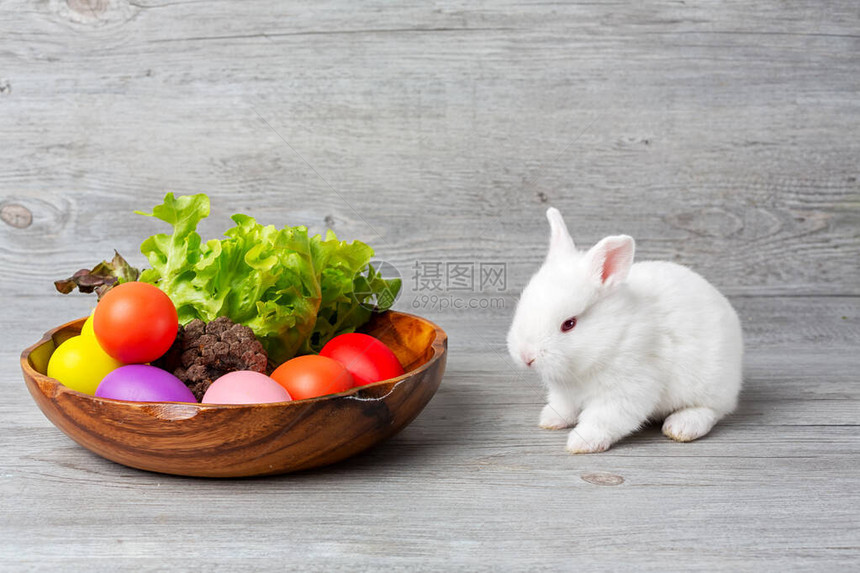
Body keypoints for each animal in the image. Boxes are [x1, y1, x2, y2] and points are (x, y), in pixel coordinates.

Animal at [508, 208, 744, 454]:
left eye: (569, 324)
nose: (526, 356)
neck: (612, 336)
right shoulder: (564, 393)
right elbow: (564, 407)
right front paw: (550, 420)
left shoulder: (627, 389)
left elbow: (603, 419)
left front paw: (581, 443)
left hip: (711, 384)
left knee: (712, 410)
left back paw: (682, 426)